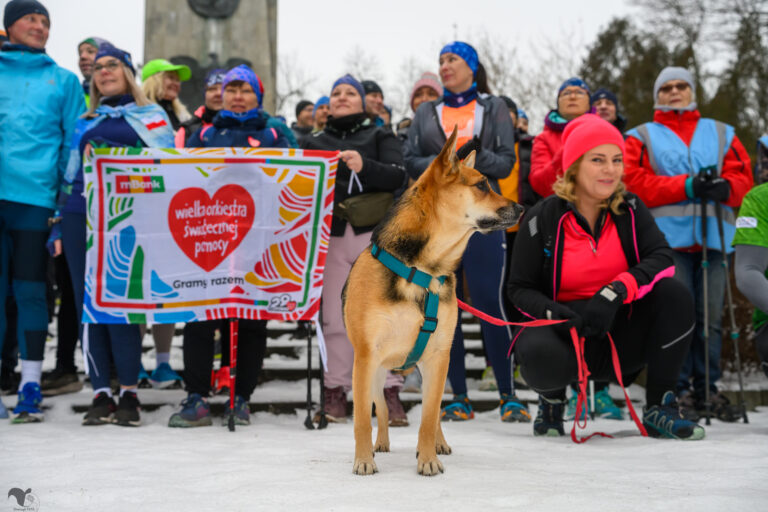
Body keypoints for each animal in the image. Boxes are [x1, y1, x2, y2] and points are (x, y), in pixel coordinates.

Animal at [342, 128, 523, 476]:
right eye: (482, 185)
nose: (521, 209)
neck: (423, 269)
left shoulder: (439, 356)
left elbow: (428, 418)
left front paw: (428, 459)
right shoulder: (366, 357)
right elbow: (362, 419)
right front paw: (363, 459)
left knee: (433, 409)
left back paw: (437, 444)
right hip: (376, 371)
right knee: (381, 408)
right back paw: (379, 444)